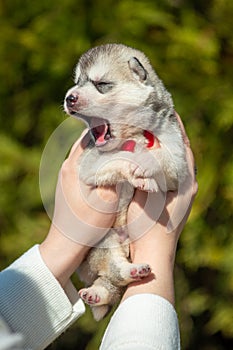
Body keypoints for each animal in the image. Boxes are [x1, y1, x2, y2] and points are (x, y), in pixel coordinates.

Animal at [63, 43, 187, 320]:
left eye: (101, 84)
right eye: (77, 82)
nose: (69, 98)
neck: (132, 133)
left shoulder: (179, 160)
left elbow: (163, 159)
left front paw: (147, 169)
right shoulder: (88, 165)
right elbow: (118, 159)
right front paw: (136, 172)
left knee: (113, 282)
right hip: (102, 241)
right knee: (114, 272)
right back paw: (110, 284)